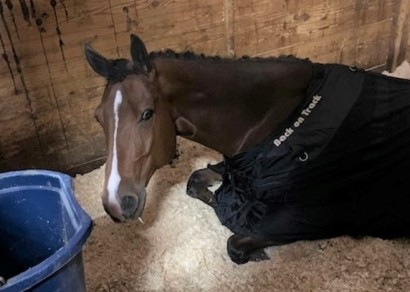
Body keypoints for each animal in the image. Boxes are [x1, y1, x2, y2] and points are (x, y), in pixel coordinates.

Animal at [85, 34, 410, 264]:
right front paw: (216, 200)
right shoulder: (237, 165)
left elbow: (235, 242)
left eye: (147, 113)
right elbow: (196, 181)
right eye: (98, 117)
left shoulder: (308, 218)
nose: (116, 203)